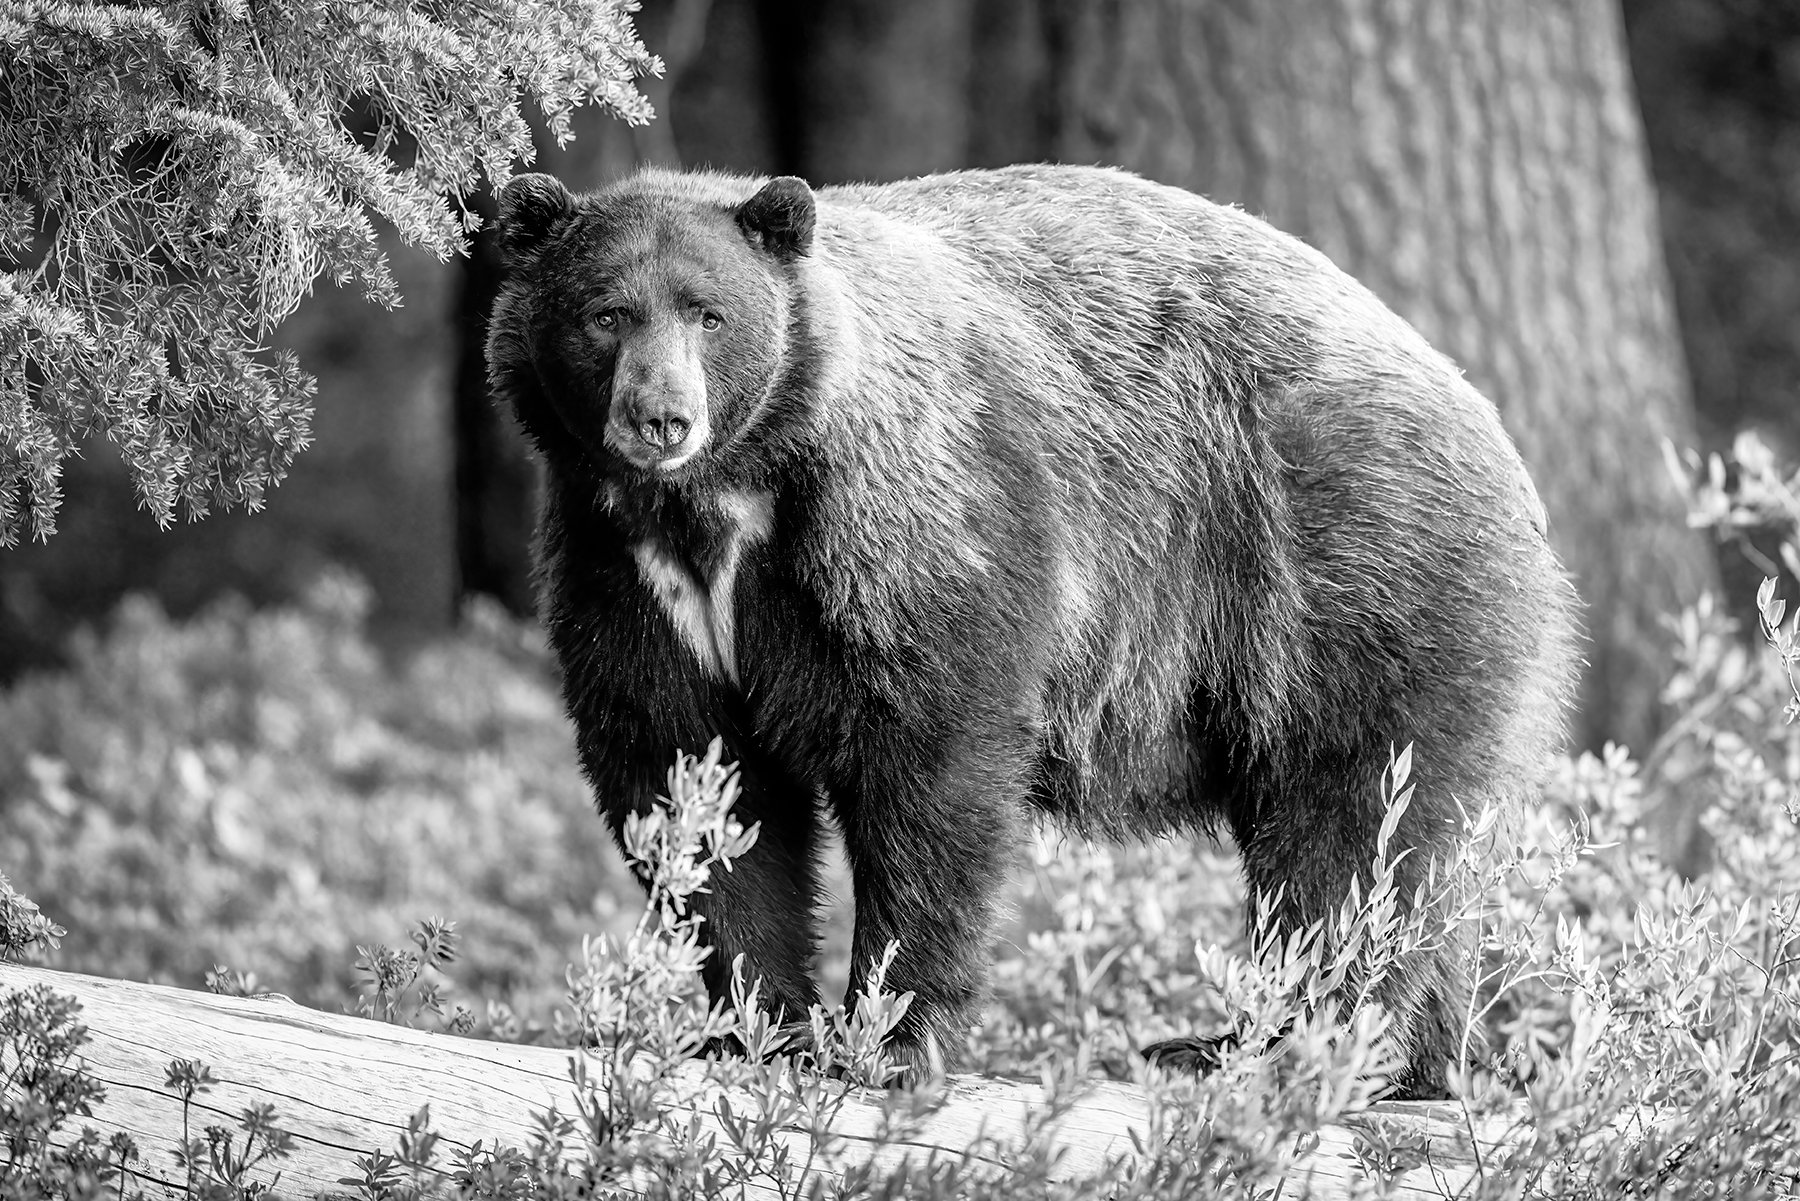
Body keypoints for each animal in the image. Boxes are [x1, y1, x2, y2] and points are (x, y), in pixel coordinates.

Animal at [486, 163, 1578, 1099]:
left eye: (707, 312)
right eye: (605, 313)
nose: (660, 417)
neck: (723, 501)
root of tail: (1487, 416)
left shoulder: (911, 526)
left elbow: (931, 767)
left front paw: (885, 1034)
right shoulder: (621, 566)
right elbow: (692, 776)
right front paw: (757, 1025)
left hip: (1346, 571)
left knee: (1350, 823)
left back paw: (1266, 1045)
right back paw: (1405, 1062)